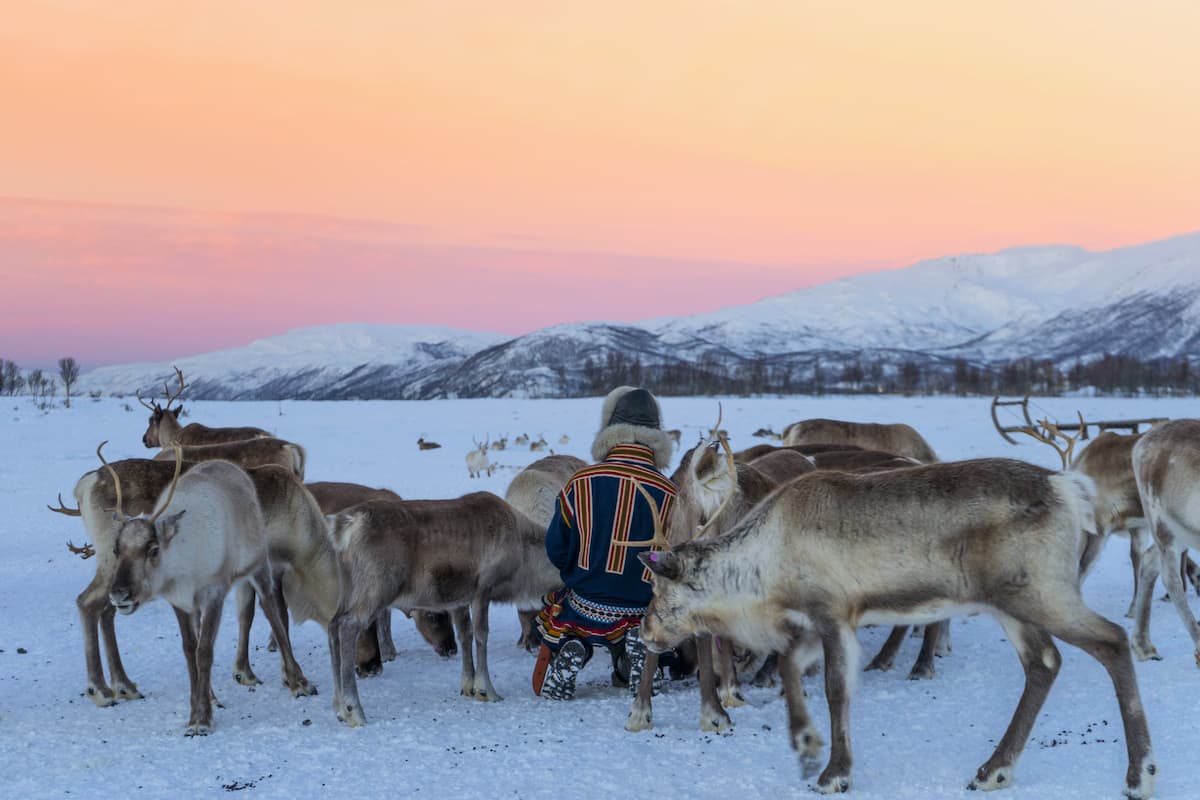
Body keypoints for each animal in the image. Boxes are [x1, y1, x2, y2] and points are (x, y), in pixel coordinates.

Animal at [101, 445, 313, 735]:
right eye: (115, 549)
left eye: (153, 549)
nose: (118, 594)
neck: (182, 563)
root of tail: (229, 466)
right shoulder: (180, 601)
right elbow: (190, 650)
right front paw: (198, 708)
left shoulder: (214, 592)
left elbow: (204, 652)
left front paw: (202, 719)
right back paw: (212, 694)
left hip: (257, 563)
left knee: (271, 609)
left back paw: (297, 681)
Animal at [324, 492, 561, 726]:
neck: (523, 553)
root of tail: (345, 524)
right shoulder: (483, 587)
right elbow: (481, 635)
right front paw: (487, 690)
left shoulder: (459, 600)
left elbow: (465, 636)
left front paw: (468, 686)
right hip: (378, 588)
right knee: (348, 627)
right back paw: (354, 710)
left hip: (346, 590)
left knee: (333, 626)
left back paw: (339, 707)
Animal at [635, 458, 1156, 798]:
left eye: (658, 590)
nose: (645, 633)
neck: (761, 569)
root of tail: (1068, 488)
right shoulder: (812, 623)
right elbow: (788, 671)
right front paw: (806, 745)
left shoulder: (831, 613)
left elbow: (835, 689)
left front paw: (834, 773)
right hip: (1011, 603)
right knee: (1044, 663)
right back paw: (994, 770)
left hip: (1043, 593)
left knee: (1112, 640)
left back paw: (1140, 775)